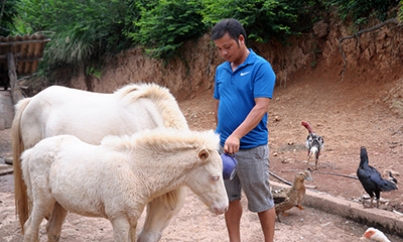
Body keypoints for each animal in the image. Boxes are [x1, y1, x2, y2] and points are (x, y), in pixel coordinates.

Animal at [21, 127, 230, 241]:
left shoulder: (132, 219)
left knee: (52, 231)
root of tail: (31, 151)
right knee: (29, 229)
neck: (134, 170)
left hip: (60, 204)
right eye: (215, 177)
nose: (224, 207)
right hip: (43, 201)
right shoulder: (119, 218)